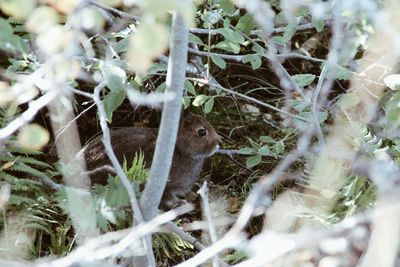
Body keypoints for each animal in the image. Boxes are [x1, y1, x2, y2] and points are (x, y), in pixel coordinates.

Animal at [81, 111, 222, 209]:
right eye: (202, 132)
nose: (219, 142)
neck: (179, 147)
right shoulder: (166, 187)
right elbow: (168, 199)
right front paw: (181, 203)